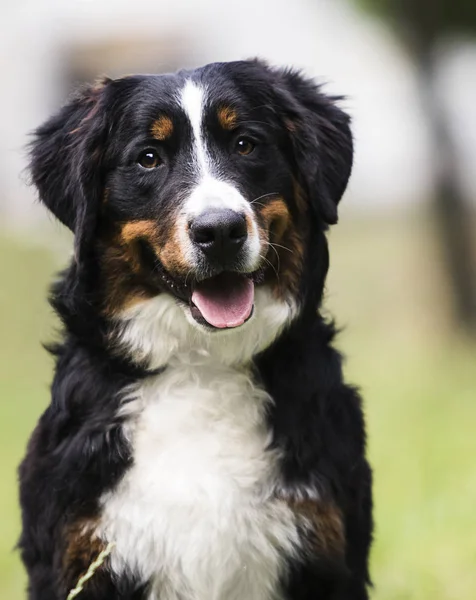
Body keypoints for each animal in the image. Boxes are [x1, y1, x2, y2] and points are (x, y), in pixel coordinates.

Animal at [18, 57, 374, 600]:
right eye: (148, 158)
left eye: (245, 144)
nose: (220, 230)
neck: (201, 365)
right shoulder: (80, 554)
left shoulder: (327, 551)